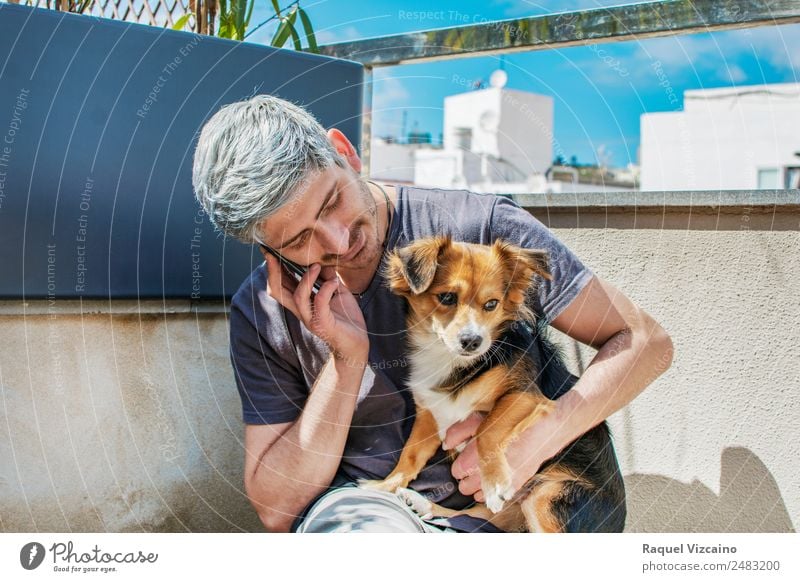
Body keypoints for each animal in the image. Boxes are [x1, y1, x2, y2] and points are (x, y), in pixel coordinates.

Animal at [360, 237, 628, 532]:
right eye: (447, 297)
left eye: (491, 304)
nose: (472, 341)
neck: (452, 360)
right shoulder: (430, 416)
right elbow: (409, 456)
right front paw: (384, 485)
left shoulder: (526, 396)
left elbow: (485, 430)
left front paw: (495, 483)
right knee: (481, 515)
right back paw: (425, 505)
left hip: (547, 497)